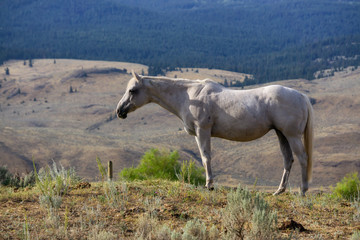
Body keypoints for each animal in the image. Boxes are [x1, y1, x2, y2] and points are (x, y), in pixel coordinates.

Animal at [116, 71, 312, 195]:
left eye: (132, 90)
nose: (119, 111)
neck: (190, 95)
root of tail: (301, 96)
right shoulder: (198, 134)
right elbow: (205, 158)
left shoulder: (203, 130)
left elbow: (205, 157)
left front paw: (209, 184)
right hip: (281, 134)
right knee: (288, 159)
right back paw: (279, 191)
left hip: (292, 135)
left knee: (302, 158)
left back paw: (302, 191)